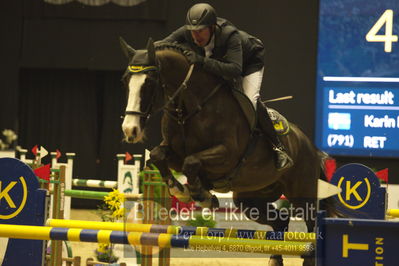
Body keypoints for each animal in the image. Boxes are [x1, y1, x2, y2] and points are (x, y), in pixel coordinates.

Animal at [120, 38, 336, 266]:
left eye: (149, 83)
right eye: (125, 81)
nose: (130, 130)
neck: (191, 108)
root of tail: (309, 145)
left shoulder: (226, 155)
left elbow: (192, 162)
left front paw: (201, 195)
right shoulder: (174, 153)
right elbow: (158, 155)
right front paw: (180, 189)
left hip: (302, 193)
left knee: (311, 224)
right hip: (250, 198)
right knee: (280, 221)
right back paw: (275, 259)